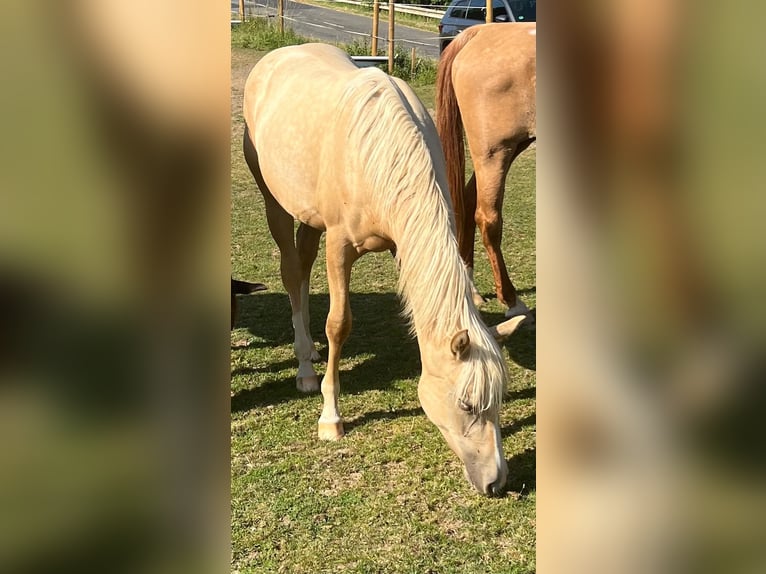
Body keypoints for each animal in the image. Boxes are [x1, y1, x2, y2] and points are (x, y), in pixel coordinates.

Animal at [243, 43, 525, 495]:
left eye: (498, 400)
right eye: (466, 404)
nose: (495, 482)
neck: (378, 154)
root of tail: (277, 56)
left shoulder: (403, 244)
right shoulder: (339, 247)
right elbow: (338, 324)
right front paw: (331, 418)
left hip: (310, 217)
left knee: (302, 268)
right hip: (275, 203)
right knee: (290, 272)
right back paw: (305, 368)